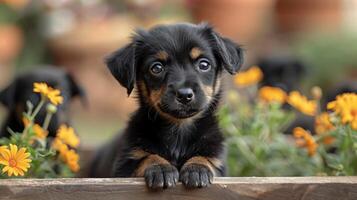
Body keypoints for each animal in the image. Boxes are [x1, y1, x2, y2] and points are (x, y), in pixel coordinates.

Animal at [90, 23, 243, 189]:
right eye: (156, 68)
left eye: (204, 64)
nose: (184, 94)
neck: (179, 128)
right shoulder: (125, 165)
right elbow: (146, 157)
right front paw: (160, 167)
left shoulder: (218, 160)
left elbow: (206, 158)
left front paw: (197, 167)